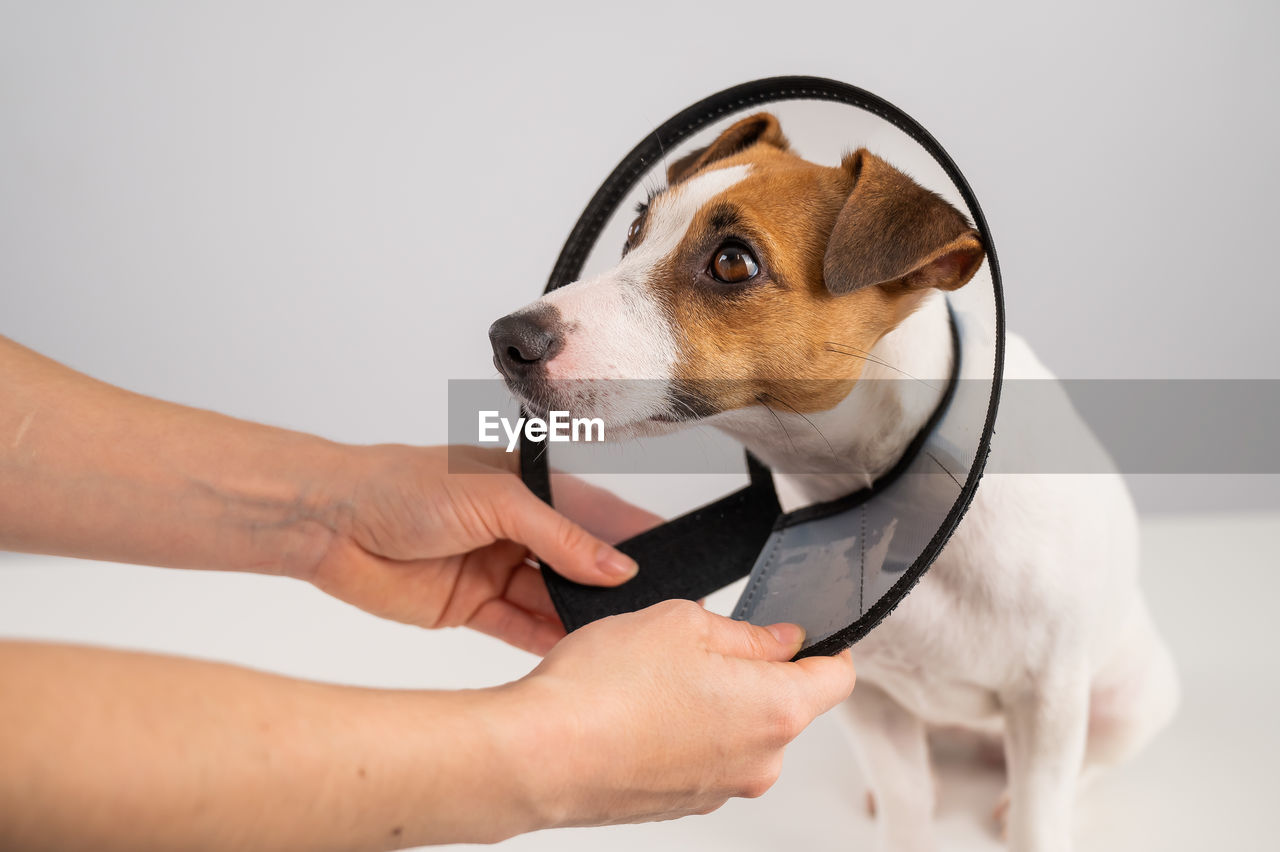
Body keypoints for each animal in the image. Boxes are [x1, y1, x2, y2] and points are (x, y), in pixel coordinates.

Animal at [486, 114, 1177, 849]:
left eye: (733, 262)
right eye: (636, 230)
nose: (508, 339)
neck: (887, 489)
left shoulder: (1048, 701)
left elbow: (1038, 822)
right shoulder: (870, 699)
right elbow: (908, 804)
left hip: (1129, 699)